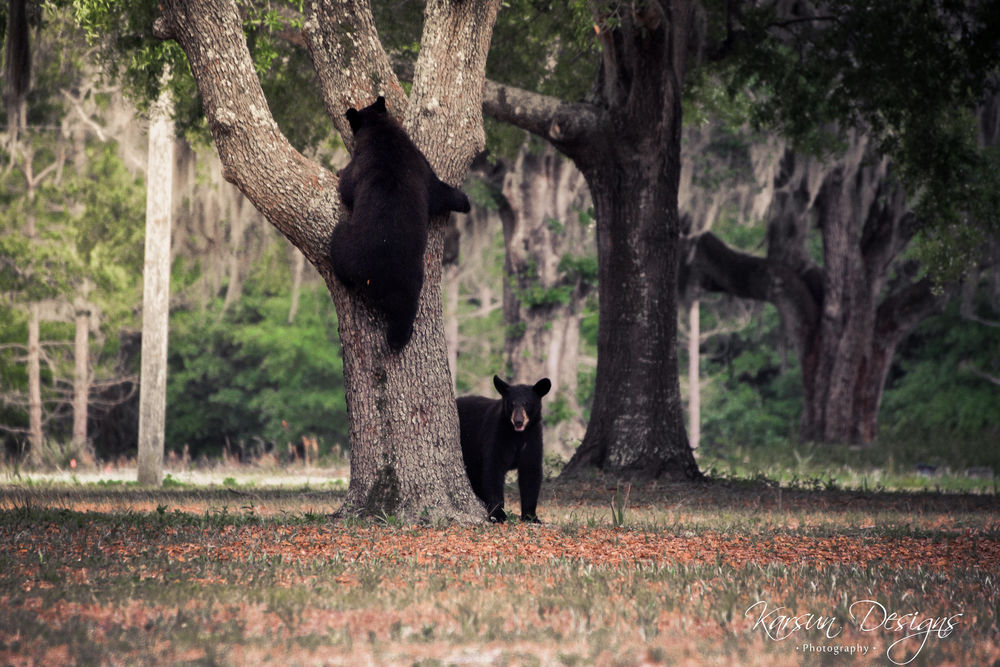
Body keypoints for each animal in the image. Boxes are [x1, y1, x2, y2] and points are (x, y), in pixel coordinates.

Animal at [328, 96, 468, 352]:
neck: (380, 129)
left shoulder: (363, 163)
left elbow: (347, 187)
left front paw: (339, 172)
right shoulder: (419, 164)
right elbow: (438, 191)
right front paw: (464, 200)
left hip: (350, 247)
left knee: (338, 243)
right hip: (411, 277)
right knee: (406, 308)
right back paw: (399, 337)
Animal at [458, 376, 552, 520]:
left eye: (526, 403)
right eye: (512, 403)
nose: (518, 421)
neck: (517, 435)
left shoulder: (532, 438)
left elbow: (531, 472)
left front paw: (531, 516)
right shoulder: (498, 436)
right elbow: (493, 470)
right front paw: (498, 514)